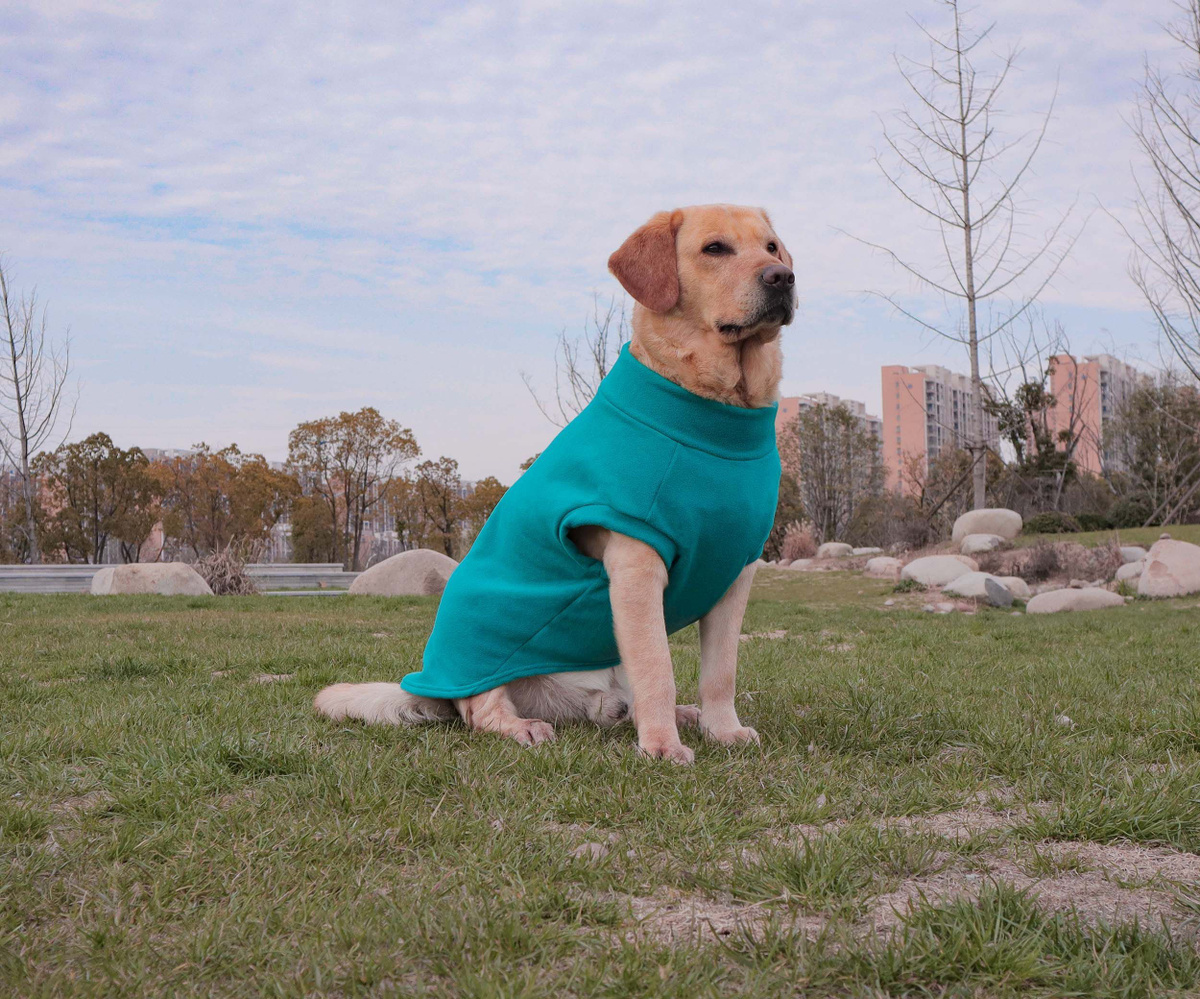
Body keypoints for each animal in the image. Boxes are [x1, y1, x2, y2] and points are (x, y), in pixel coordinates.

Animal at [314, 202, 792, 763]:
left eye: (772, 247)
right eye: (715, 248)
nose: (782, 278)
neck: (715, 412)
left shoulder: (735, 571)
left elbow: (720, 672)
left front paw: (722, 729)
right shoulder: (635, 565)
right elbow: (659, 668)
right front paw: (660, 748)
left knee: (611, 702)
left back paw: (665, 716)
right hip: (483, 623)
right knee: (478, 709)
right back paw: (523, 726)